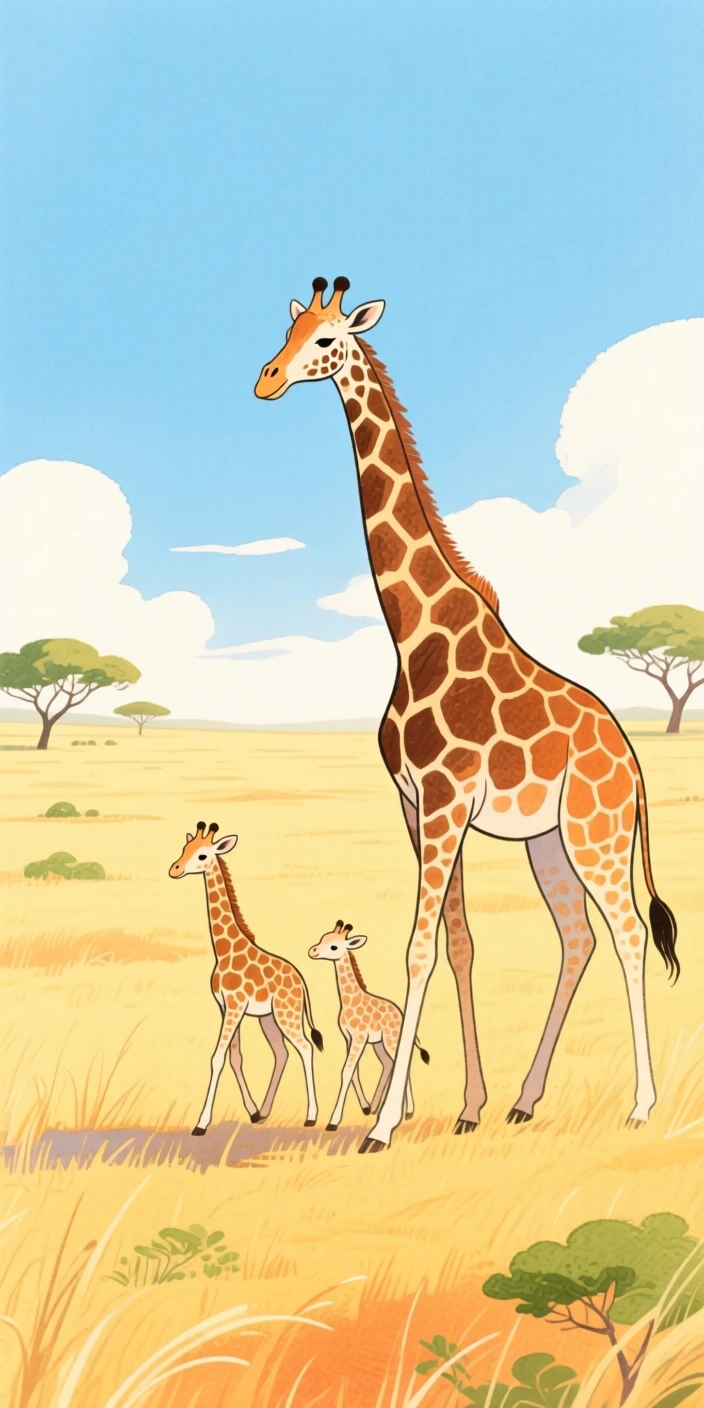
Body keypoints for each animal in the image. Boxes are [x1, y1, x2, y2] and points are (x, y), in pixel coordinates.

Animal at [169, 821, 323, 1132]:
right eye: (185, 848)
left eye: (202, 855)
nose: (174, 869)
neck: (225, 949)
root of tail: (301, 982)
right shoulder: (226, 1007)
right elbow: (235, 1057)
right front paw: (251, 1111)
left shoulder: (235, 1007)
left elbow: (217, 1057)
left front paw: (201, 1124)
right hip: (269, 1018)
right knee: (282, 1053)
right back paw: (265, 1111)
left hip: (287, 1014)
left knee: (305, 1047)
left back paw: (312, 1116)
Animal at [309, 919, 430, 1131]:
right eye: (323, 938)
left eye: (334, 947)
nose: (312, 951)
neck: (349, 1001)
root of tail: (401, 1015)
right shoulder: (348, 1037)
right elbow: (353, 1071)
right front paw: (365, 1107)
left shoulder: (359, 1037)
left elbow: (347, 1071)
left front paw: (333, 1122)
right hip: (379, 1043)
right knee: (389, 1064)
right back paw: (376, 1107)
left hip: (390, 1040)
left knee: (401, 1063)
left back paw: (408, 1111)